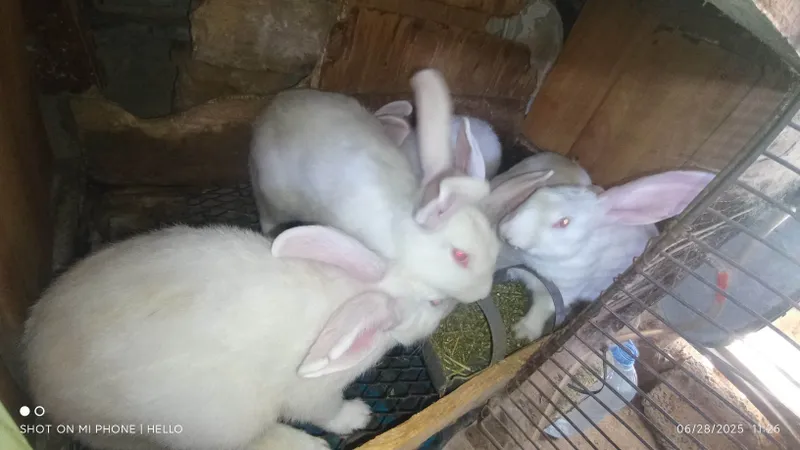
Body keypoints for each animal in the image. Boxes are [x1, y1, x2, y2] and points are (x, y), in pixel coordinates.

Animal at [22, 224, 457, 450]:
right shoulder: (313, 393)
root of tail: (39, 384)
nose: (456, 300)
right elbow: (326, 412)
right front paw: (357, 416)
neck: (349, 294)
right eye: (435, 301)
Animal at [494, 169, 716, 341]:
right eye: (536, 193)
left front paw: (522, 333)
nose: (505, 231)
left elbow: (542, 308)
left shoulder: (562, 291)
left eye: (563, 222)